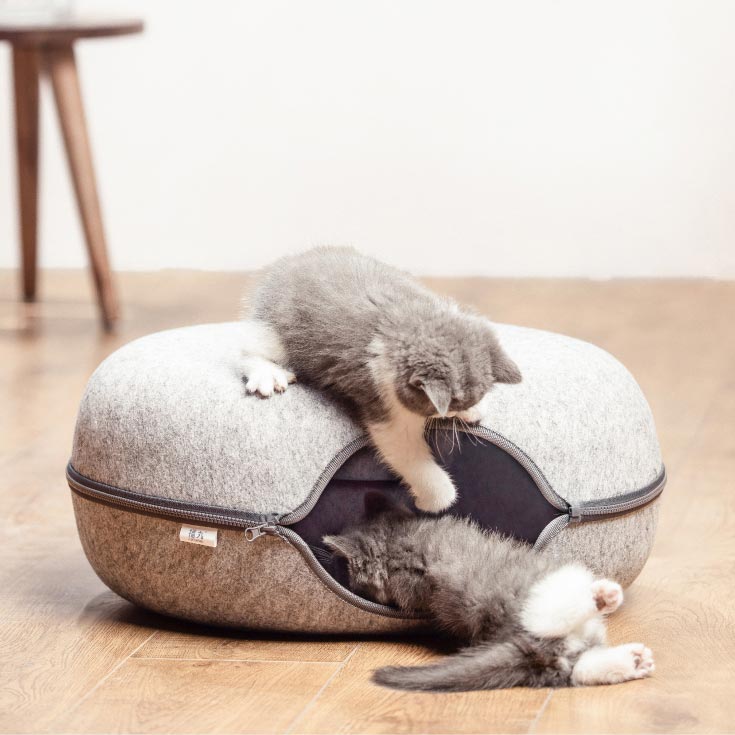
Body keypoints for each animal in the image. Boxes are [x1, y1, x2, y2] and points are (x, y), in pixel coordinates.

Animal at [242, 247, 524, 512]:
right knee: (245, 348)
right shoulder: (382, 402)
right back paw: (268, 375)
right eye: (452, 405)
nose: (458, 411)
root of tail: (283, 265)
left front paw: (475, 410)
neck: (407, 322)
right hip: (280, 332)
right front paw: (433, 500)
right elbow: (405, 453)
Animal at [326, 498, 656, 692]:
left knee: (578, 667)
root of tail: (521, 643)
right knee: (553, 626)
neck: (397, 544)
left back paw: (632, 660)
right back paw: (603, 598)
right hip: (542, 603)